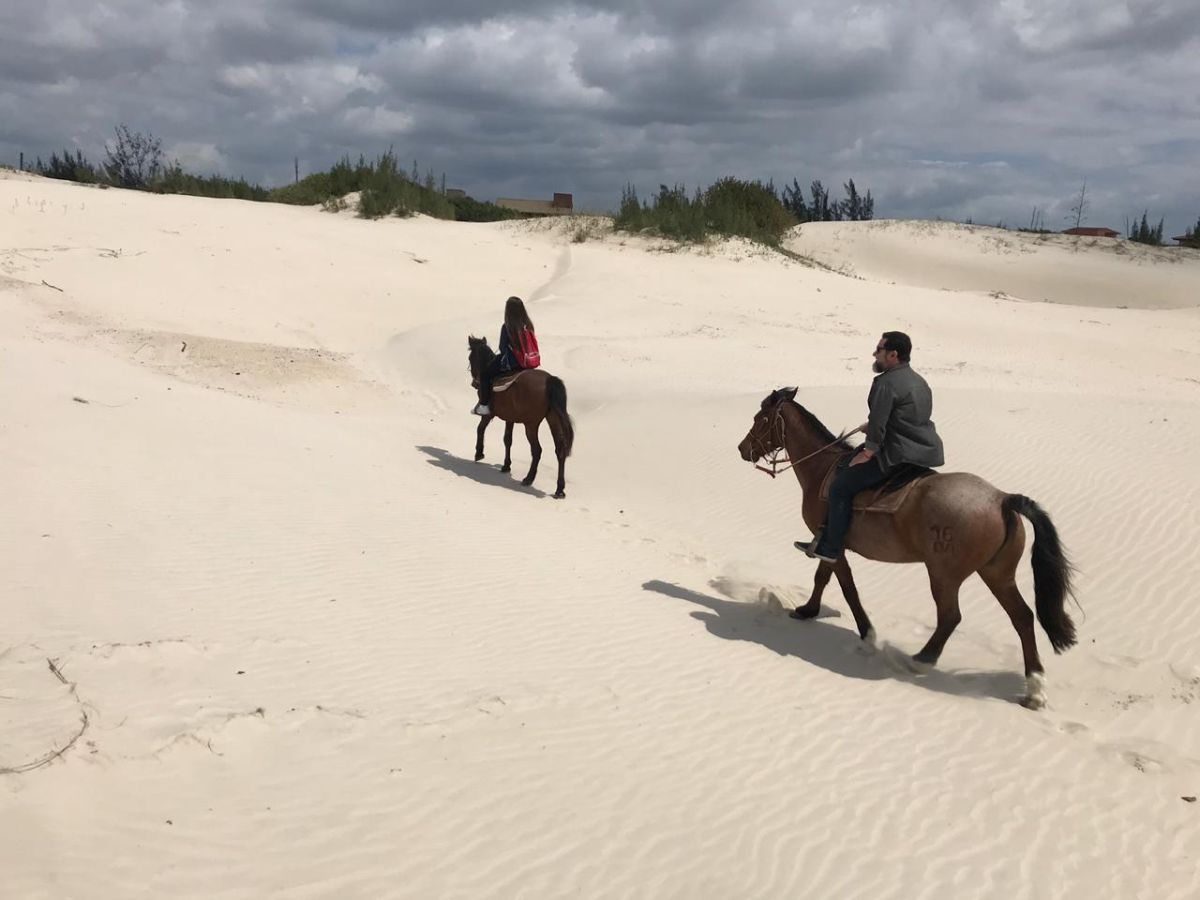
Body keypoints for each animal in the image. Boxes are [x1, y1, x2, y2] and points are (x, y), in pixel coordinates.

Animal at [465, 336, 573, 496]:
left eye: (470, 358)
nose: (474, 383)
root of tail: (550, 380)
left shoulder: (489, 414)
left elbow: (480, 429)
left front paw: (479, 453)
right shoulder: (509, 418)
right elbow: (507, 440)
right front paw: (506, 466)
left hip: (531, 424)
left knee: (537, 450)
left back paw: (529, 478)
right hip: (553, 419)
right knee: (560, 449)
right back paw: (559, 489)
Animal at [734, 388, 1075, 710]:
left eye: (760, 418)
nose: (742, 449)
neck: (822, 468)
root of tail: (1002, 499)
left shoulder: (833, 544)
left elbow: (845, 586)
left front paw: (866, 634)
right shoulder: (829, 543)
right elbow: (824, 578)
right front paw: (808, 610)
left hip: (944, 574)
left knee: (950, 616)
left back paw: (921, 660)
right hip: (997, 573)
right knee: (1023, 618)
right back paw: (1035, 688)